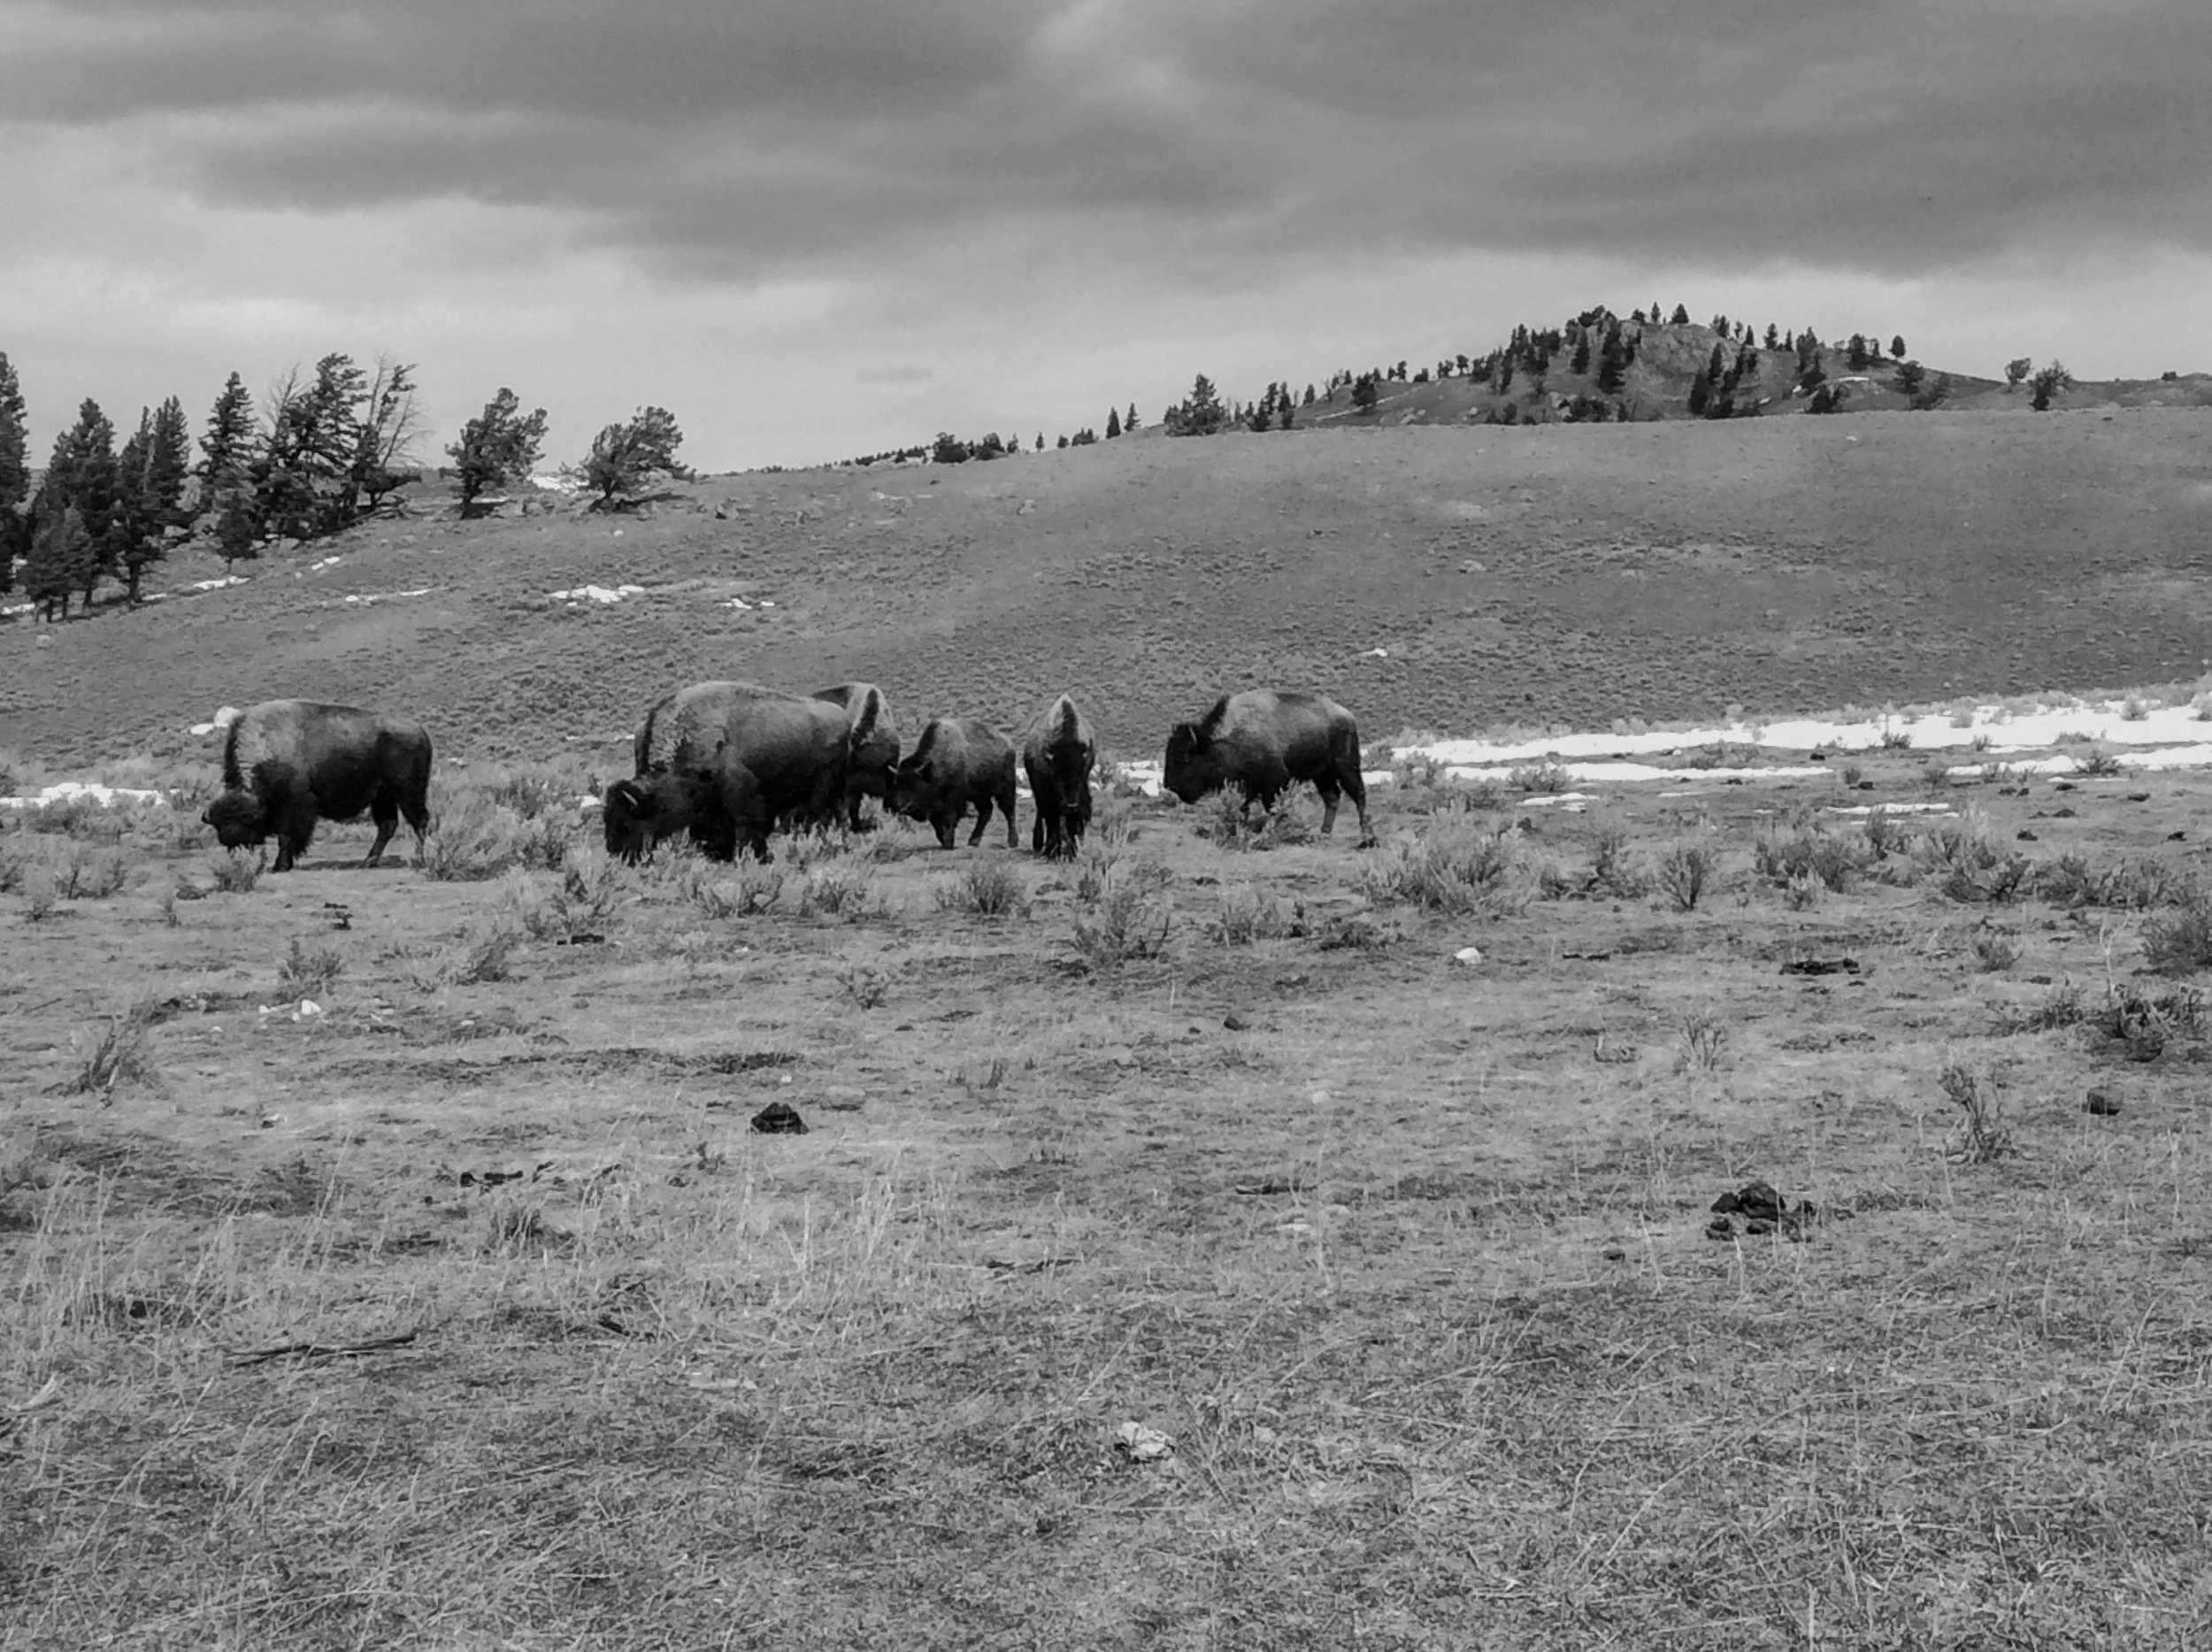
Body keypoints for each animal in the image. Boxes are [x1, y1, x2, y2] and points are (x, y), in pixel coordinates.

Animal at [202, 699, 433, 872]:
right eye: (224, 840)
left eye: (246, 830)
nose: (240, 862)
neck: (267, 750)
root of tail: (420, 731)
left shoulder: (294, 807)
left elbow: (286, 837)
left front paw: (281, 866)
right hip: (382, 797)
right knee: (388, 825)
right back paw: (368, 862)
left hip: (409, 792)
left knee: (419, 821)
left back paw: (422, 857)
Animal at [604, 681, 876, 862]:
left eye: (628, 821)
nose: (617, 852)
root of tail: (843, 718)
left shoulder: (741, 795)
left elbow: (747, 826)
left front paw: (753, 855)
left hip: (822, 787)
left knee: (816, 817)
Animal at [888, 718, 1020, 849]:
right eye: (896, 783)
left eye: (914, 784)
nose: (899, 806)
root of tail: (1009, 745)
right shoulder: (935, 807)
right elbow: (937, 824)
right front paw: (945, 841)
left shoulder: (953, 801)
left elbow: (949, 820)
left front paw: (948, 843)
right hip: (980, 796)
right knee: (986, 812)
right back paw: (973, 841)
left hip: (1006, 789)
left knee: (1009, 812)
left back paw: (1013, 842)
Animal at [1020, 694, 1096, 859]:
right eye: (1056, 777)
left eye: (1081, 773)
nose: (1071, 806)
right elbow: (1052, 819)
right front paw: (1053, 851)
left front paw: (1072, 851)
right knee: (1042, 815)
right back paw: (1041, 846)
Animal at [1162, 689, 1375, 846]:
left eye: (1185, 757)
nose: (1168, 784)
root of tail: (1347, 715)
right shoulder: (1245, 787)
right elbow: (1243, 809)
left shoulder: (1273, 784)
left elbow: (1272, 808)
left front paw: (1267, 834)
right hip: (1322, 775)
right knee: (1332, 797)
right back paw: (1324, 834)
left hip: (1346, 767)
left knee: (1358, 795)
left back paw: (1367, 837)